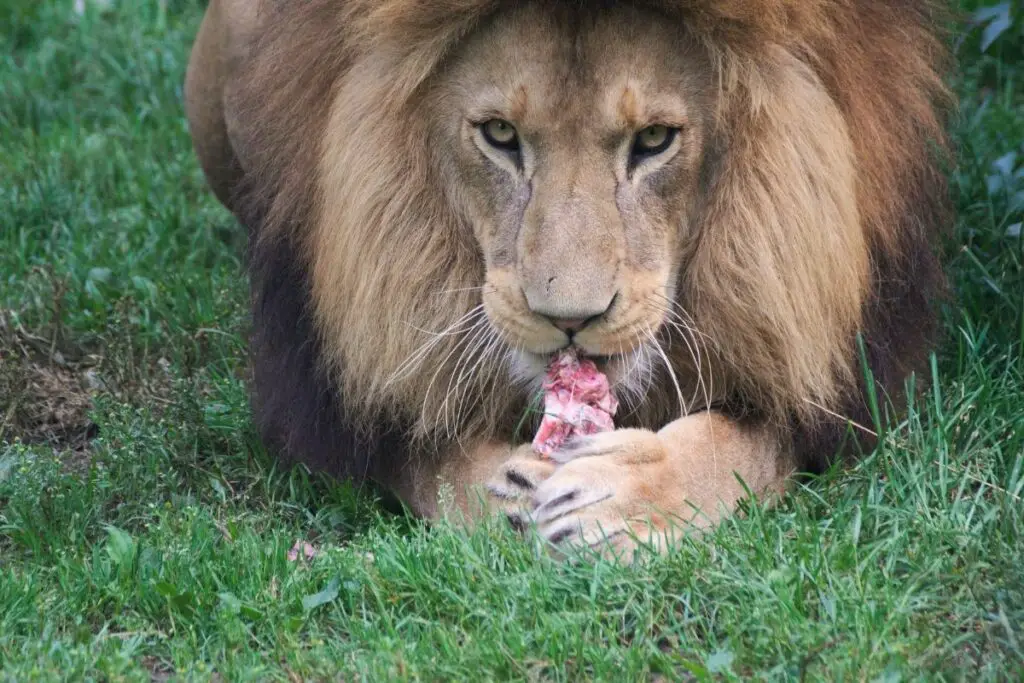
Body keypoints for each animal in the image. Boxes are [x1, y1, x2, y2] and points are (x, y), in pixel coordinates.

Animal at [184, 0, 953, 558]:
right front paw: (509, 491)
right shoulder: (332, 386)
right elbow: (423, 450)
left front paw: (621, 499)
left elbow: (739, 444)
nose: (571, 318)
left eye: (654, 140)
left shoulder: (836, 373)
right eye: (499, 134)